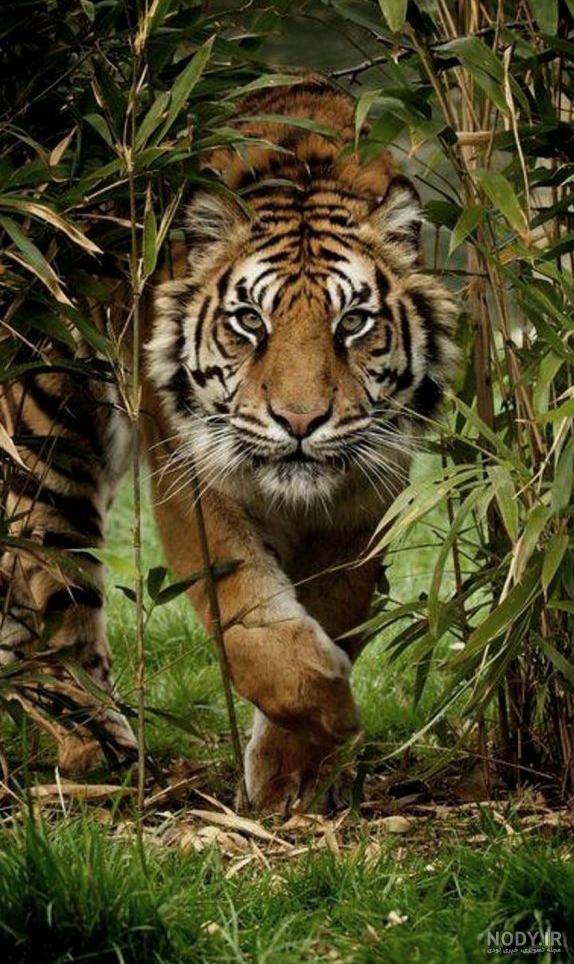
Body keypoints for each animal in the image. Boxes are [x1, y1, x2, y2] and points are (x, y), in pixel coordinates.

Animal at [0, 77, 458, 812]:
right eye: (249, 321)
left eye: (352, 323)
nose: (300, 421)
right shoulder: (191, 472)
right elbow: (246, 612)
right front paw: (331, 710)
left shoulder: (366, 492)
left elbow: (336, 606)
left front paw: (291, 774)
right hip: (49, 431)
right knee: (51, 593)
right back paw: (100, 753)